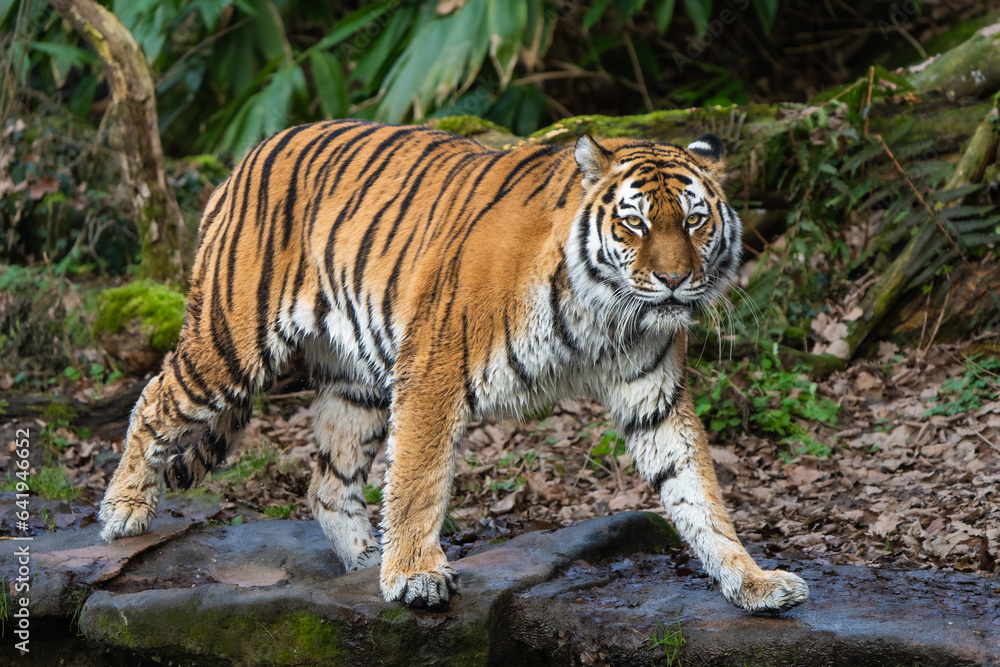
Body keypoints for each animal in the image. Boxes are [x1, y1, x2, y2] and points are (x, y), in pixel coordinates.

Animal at [97, 117, 808, 612]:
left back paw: (365, 559)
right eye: (634, 223)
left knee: (327, 479)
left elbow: (698, 493)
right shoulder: (434, 368)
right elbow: (418, 480)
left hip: (355, 381)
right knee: (154, 398)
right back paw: (124, 510)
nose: (673, 281)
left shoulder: (652, 394)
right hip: (228, 343)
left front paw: (752, 581)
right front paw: (415, 575)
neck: (605, 313)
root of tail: (246, 156)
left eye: (695, 220)